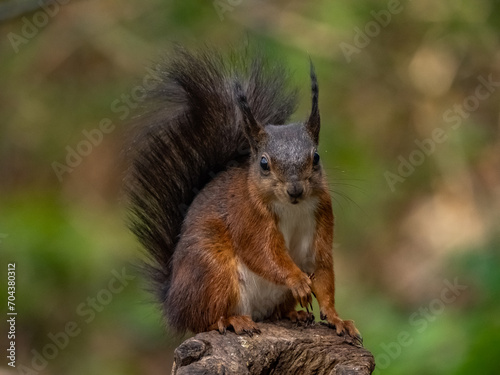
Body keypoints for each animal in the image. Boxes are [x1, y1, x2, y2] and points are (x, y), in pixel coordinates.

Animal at [125, 46, 360, 340]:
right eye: (263, 163)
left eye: (315, 158)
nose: (295, 190)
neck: (292, 208)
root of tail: (173, 303)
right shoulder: (248, 216)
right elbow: (263, 253)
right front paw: (298, 281)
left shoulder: (321, 216)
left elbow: (321, 269)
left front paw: (336, 318)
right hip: (213, 271)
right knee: (203, 320)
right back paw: (231, 320)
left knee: (274, 313)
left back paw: (293, 314)